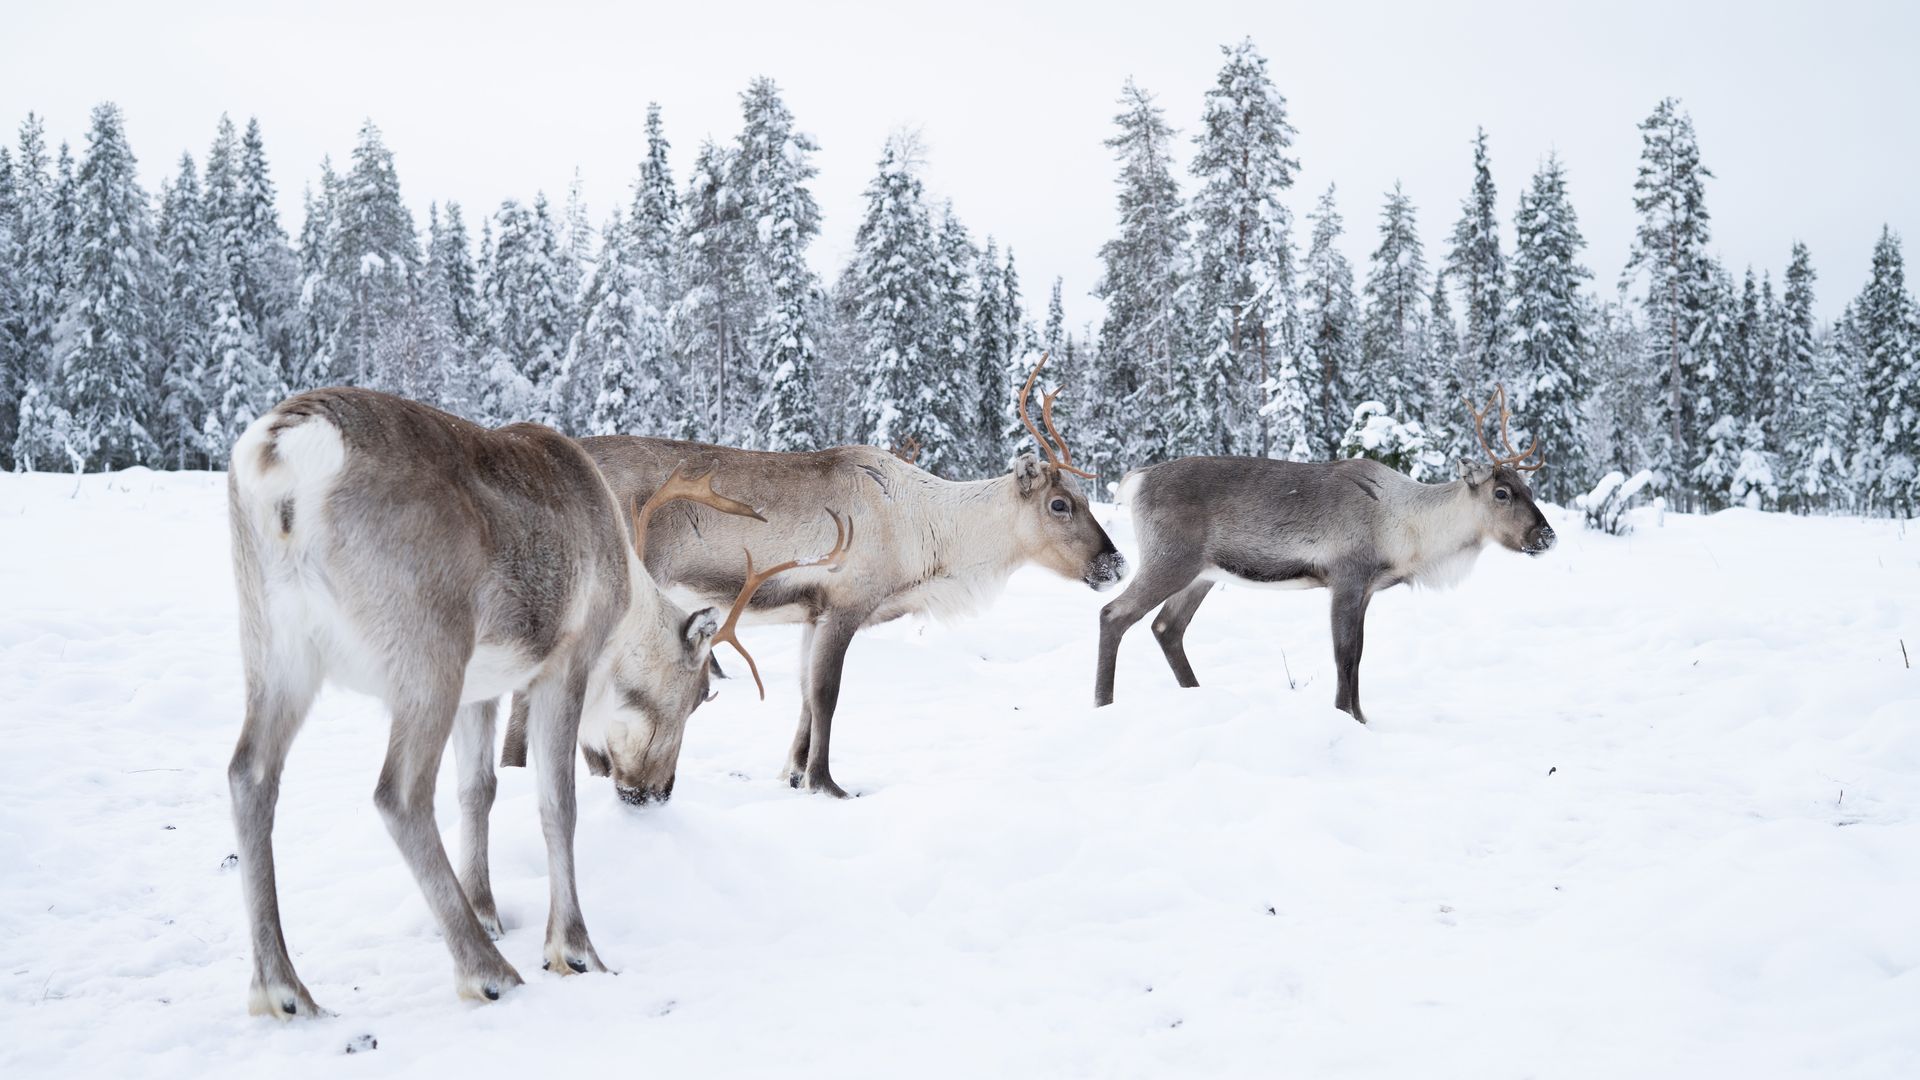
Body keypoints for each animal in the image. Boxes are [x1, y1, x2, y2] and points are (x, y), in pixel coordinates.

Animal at [225, 388, 838, 1017]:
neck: (623, 606)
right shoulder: (562, 666)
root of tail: (285, 449)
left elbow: (479, 789)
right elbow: (557, 804)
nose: (658, 793)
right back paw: (487, 971)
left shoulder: (481, 687)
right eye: (698, 695)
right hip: (427, 654)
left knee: (249, 773)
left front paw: (487, 909)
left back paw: (282, 988)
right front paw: (572, 948)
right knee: (397, 794)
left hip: (275, 645)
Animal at [504, 354, 1125, 798]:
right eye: (1061, 504)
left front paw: (792, 772)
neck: (925, 539)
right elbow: (827, 695)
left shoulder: (811, 612)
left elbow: (804, 696)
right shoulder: (845, 605)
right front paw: (826, 783)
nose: (1115, 563)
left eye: (1083, 495)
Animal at [1094, 387, 1557, 722]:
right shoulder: (1346, 579)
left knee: (1166, 628)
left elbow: (1358, 655)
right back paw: (1103, 704)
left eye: (1531, 488)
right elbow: (1345, 655)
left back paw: (1195, 695)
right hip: (1170, 559)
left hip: (1202, 574)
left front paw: (1362, 717)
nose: (1547, 536)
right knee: (1114, 614)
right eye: (1502, 493)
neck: (1408, 532)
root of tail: (1136, 479)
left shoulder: (1366, 589)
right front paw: (1346, 717)